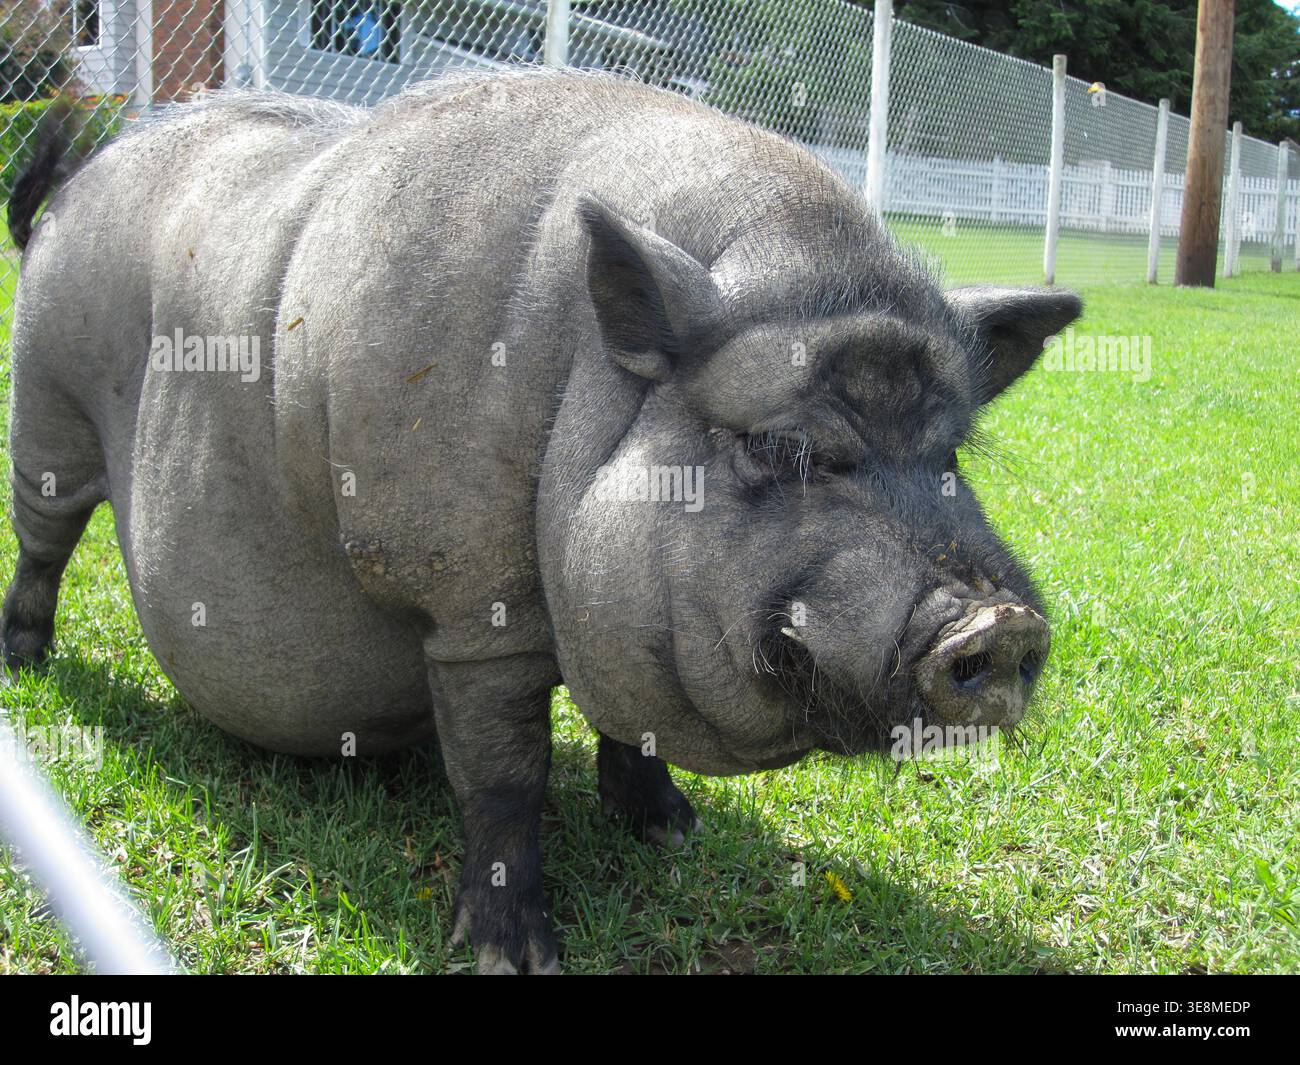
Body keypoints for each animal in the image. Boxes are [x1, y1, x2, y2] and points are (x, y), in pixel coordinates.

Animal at [2, 71, 1080, 973]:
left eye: (950, 456)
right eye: (781, 446)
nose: (1001, 622)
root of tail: (79, 181)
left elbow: (625, 727)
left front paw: (672, 829)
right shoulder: (471, 606)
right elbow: (503, 780)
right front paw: (514, 958)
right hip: (46, 408)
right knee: (43, 541)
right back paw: (26, 662)